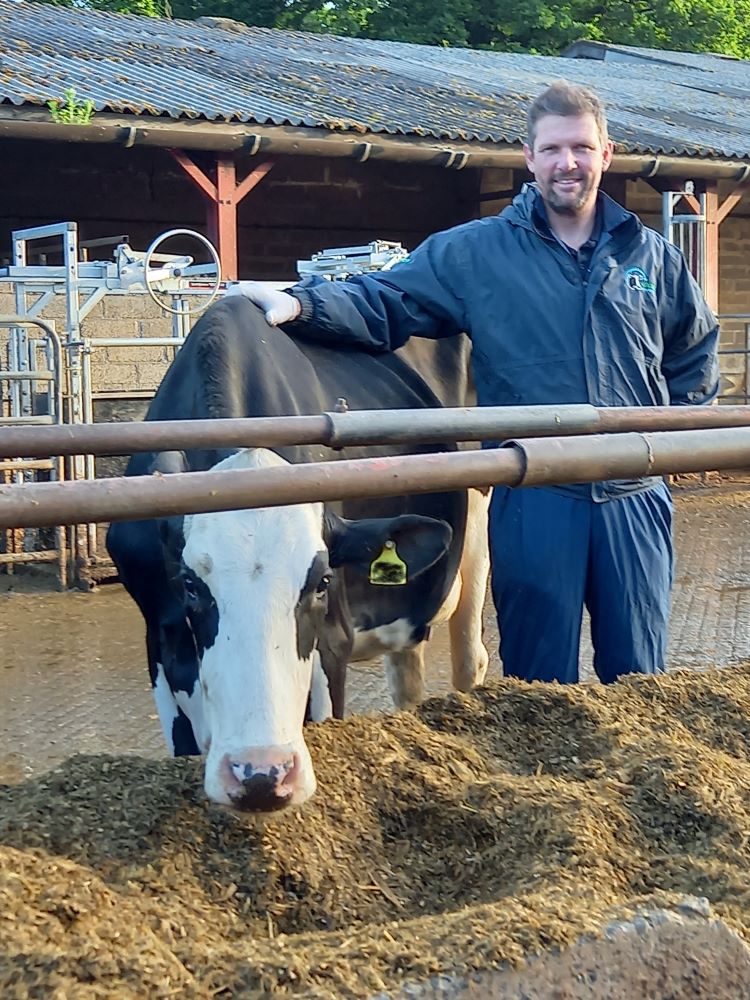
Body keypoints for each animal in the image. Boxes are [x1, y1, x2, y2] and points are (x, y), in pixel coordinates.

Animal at [106, 295, 489, 813]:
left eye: (322, 582)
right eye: (189, 585)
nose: (260, 774)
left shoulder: (334, 638)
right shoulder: (161, 643)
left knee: (470, 659)